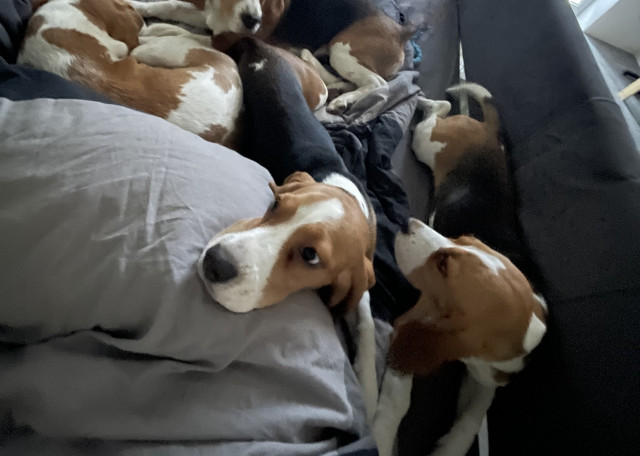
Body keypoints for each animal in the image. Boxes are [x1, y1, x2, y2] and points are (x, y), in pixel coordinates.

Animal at [128, 0, 415, 114]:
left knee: (377, 83)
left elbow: (187, 34)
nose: (253, 20)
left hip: (342, 50)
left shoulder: (231, 39)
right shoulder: (210, 17)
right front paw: (139, 6)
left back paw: (343, 101)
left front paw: (157, 32)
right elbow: (170, 6)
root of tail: (402, 31)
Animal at [197, 37, 376, 314]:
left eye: (311, 256)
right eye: (275, 203)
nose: (215, 263)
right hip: (314, 91)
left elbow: (364, 303)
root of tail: (260, 47)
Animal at [388, 84, 548, 456]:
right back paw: (426, 100)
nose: (406, 223)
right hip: (428, 141)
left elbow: (473, 417)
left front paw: (451, 446)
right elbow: (397, 403)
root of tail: (490, 133)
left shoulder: (487, 379)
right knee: (439, 110)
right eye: (462, 240)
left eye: (445, 264)